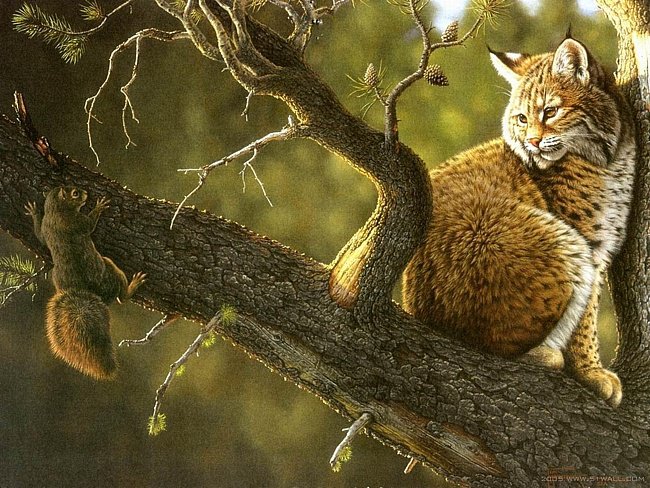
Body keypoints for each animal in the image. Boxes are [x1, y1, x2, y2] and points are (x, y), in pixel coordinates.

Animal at [26, 186, 145, 380]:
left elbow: (40, 236)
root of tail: (82, 289)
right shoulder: (77, 222)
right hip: (111, 268)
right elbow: (90, 224)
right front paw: (99, 206)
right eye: (75, 193)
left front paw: (34, 212)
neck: (56, 211)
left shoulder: (45, 227)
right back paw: (133, 284)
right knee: (122, 296)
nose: (86, 193)